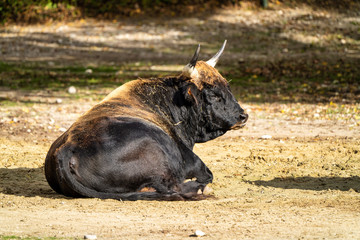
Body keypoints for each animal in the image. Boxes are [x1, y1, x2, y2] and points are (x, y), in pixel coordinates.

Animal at [44, 41, 248, 201]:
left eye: (227, 87)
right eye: (213, 94)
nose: (243, 116)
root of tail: (67, 148)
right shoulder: (193, 162)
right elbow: (207, 173)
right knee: (171, 186)